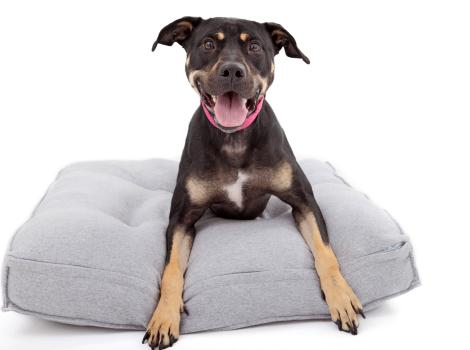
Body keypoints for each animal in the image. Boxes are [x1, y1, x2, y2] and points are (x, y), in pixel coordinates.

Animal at [141, 17, 366, 350]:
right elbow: (171, 271)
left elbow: (327, 255)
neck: (234, 138)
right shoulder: (180, 221)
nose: (232, 71)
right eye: (208, 44)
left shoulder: (305, 204)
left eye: (256, 47)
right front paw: (164, 315)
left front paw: (342, 297)